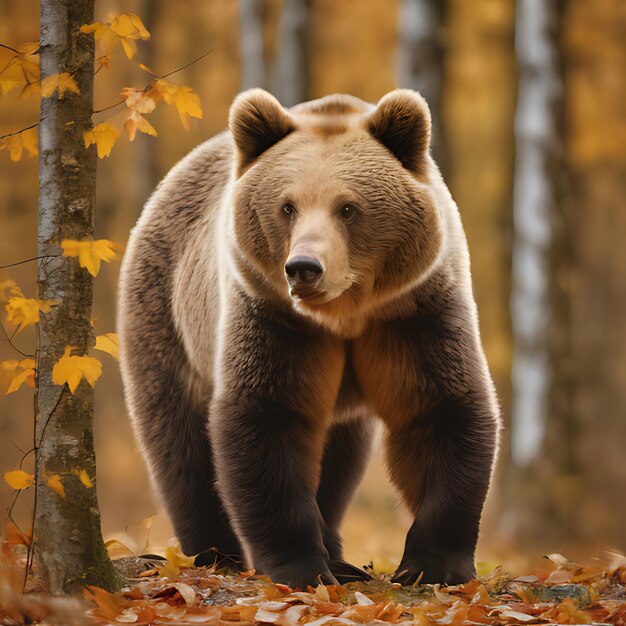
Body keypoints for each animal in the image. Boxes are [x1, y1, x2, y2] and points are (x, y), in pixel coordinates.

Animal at [117, 89, 498, 588]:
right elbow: (268, 417)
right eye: (287, 206)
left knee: (338, 460)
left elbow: (439, 408)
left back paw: (340, 556)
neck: (343, 317)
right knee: (179, 441)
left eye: (348, 207)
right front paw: (301, 567)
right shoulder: (273, 318)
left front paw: (433, 565)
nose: (303, 267)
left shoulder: (416, 312)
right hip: (167, 314)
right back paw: (215, 554)